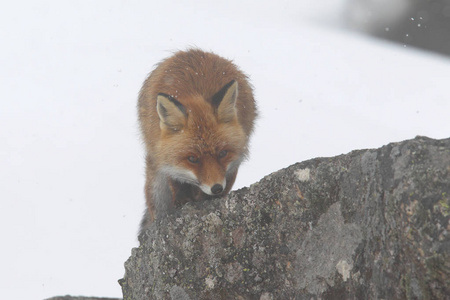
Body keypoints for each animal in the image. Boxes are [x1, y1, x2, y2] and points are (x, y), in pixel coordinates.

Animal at [137, 49, 256, 232]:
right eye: (192, 158)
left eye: (223, 153)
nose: (216, 188)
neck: (195, 94)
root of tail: (192, 51)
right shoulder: (167, 162)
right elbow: (176, 182)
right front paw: (183, 200)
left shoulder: (233, 164)